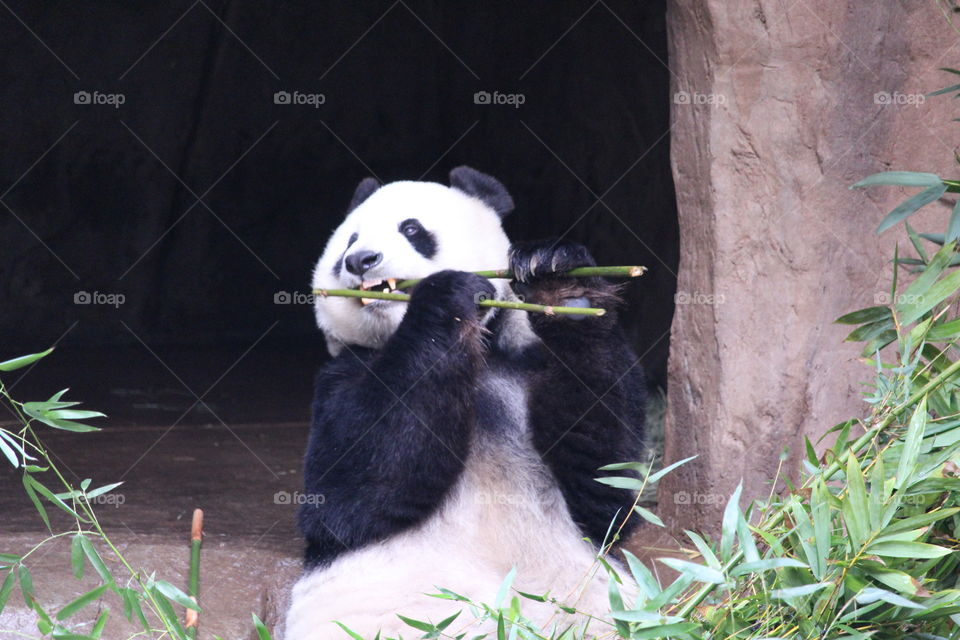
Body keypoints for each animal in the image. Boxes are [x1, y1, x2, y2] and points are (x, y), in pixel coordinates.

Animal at [285, 166, 647, 640]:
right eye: (349, 240)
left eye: (412, 229)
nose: (360, 260)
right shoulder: (340, 377)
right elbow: (350, 499)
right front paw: (447, 296)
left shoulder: (523, 367)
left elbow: (605, 486)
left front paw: (559, 281)